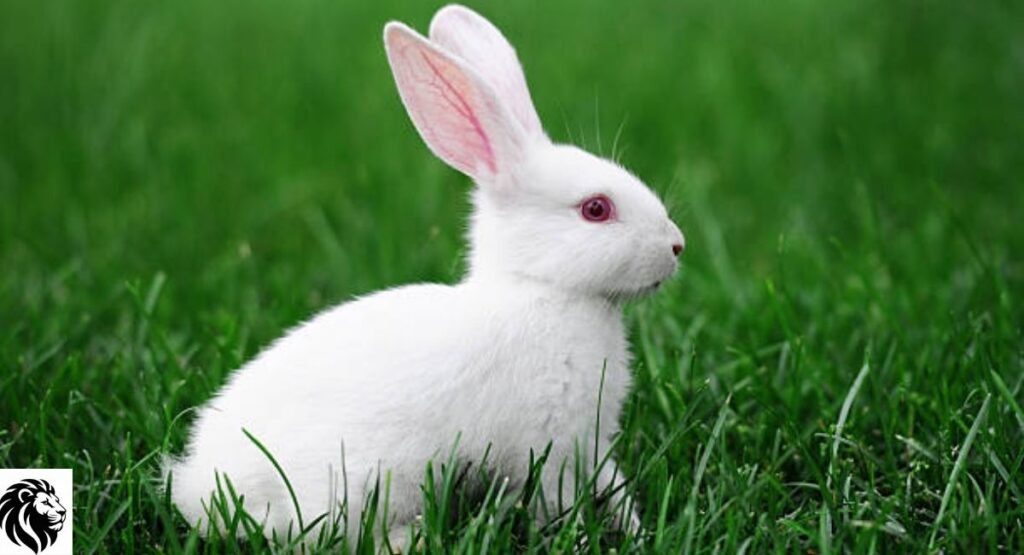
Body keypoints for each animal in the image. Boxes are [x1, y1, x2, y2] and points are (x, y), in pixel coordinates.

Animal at [167, 3, 685, 550]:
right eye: (596, 209)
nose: (677, 245)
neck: (538, 288)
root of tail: (194, 487)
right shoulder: (551, 449)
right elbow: (563, 503)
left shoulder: (592, 444)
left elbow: (614, 487)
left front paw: (639, 531)